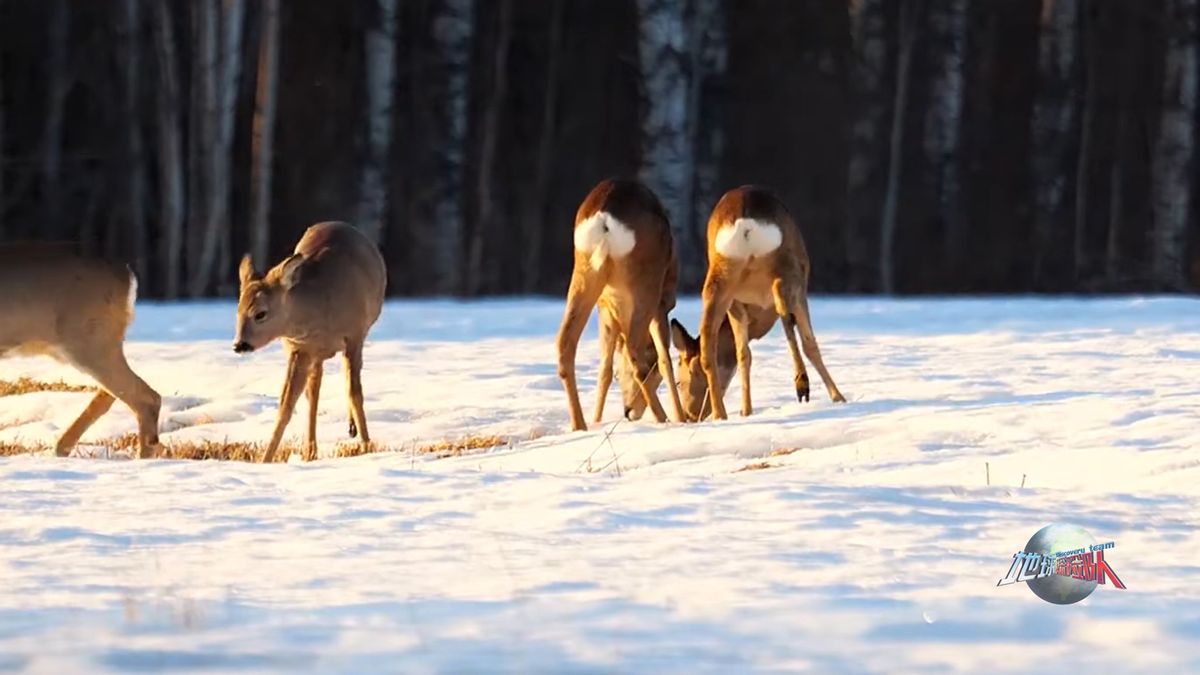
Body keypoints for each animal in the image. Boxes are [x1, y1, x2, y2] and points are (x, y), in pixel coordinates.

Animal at [232, 220, 384, 461]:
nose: (240, 345)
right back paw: (311, 450)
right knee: (314, 390)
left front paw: (367, 446)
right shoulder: (299, 348)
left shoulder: (354, 334)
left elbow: (355, 393)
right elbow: (286, 404)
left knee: (345, 381)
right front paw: (265, 459)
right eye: (237, 312)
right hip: (313, 354)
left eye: (260, 313)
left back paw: (350, 430)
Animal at [554, 177, 686, 429]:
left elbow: (605, 369)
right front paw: (681, 417)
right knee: (635, 352)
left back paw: (580, 425)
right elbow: (664, 359)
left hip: (584, 272)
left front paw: (597, 419)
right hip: (647, 282)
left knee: (565, 342)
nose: (628, 411)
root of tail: (604, 218)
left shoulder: (606, 309)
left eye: (619, 376)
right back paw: (662, 418)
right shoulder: (663, 304)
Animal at [681, 183, 849, 420]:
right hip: (786, 267)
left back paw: (720, 414)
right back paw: (802, 384)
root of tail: (744, 222)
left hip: (720, 278)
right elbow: (809, 343)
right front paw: (838, 398)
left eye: (682, 378)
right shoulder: (800, 289)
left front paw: (746, 411)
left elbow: (743, 355)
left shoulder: (737, 305)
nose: (689, 414)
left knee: (708, 343)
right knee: (784, 308)